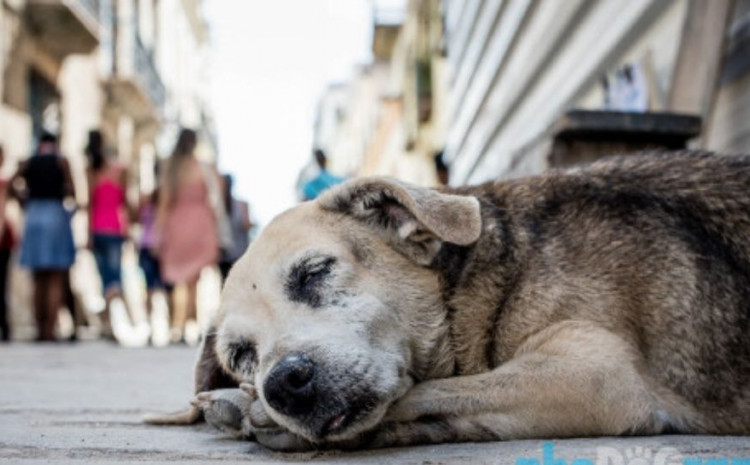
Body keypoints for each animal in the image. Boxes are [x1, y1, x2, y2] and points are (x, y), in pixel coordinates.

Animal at [147, 152, 750, 450]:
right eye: (240, 355)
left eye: (315, 272)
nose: (283, 385)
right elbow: (443, 400)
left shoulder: (595, 375)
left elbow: (435, 393)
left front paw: (250, 411)